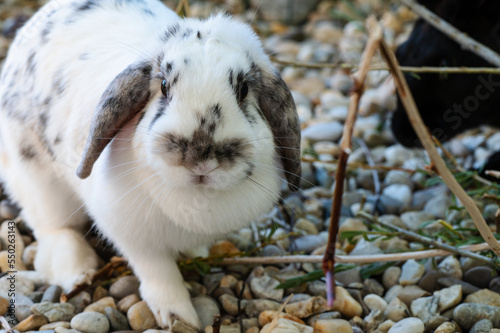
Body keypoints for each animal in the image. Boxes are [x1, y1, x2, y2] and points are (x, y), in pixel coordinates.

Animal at [0, 0, 300, 328]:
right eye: (165, 86)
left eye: (243, 89)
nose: (200, 160)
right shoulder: (135, 238)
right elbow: (159, 273)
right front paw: (178, 317)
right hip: (38, 179)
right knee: (53, 228)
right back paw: (78, 271)